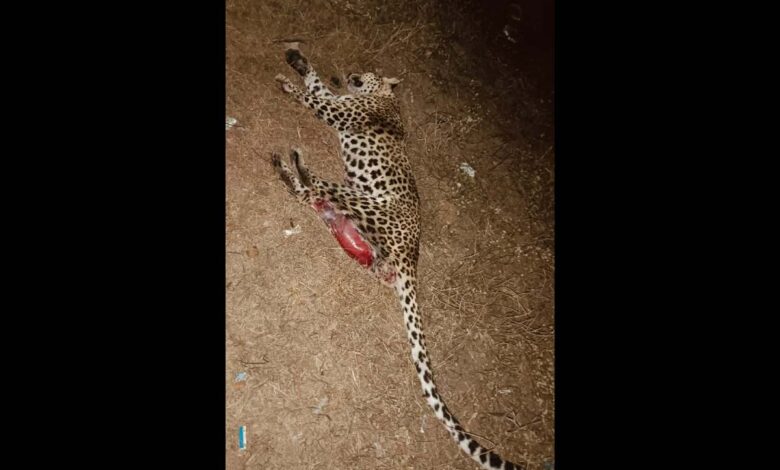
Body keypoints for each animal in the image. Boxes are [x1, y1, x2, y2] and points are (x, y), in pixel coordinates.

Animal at [271, 46, 521, 470]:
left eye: (366, 70)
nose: (350, 72)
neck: (384, 97)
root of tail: (412, 255)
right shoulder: (338, 99)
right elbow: (317, 83)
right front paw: (297, 59)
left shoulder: (339, 112)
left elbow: (313, 97)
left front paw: (288, 82)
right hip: (358, 227)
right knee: (314, 200)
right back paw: (287, 170)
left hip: (367, 202)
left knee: (319, 186)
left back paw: (296, 163)